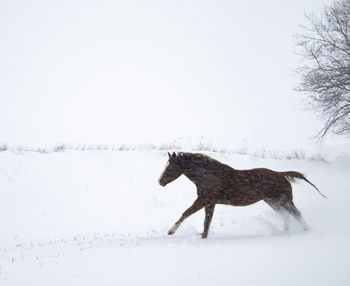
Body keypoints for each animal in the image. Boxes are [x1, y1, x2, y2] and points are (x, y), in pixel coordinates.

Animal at [159, 152, 326, 239]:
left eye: (170, 167)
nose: (160, 181)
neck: (208, 175)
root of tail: (281, 174)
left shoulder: (203, 200)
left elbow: (186, 213)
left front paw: (171, 231)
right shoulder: (210, 203)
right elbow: (207, 222)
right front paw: (203, 236)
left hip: (284, 200)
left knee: (296, 214)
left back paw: (306, 230)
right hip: (272, 202)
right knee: (286, 215)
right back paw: (285, 232)